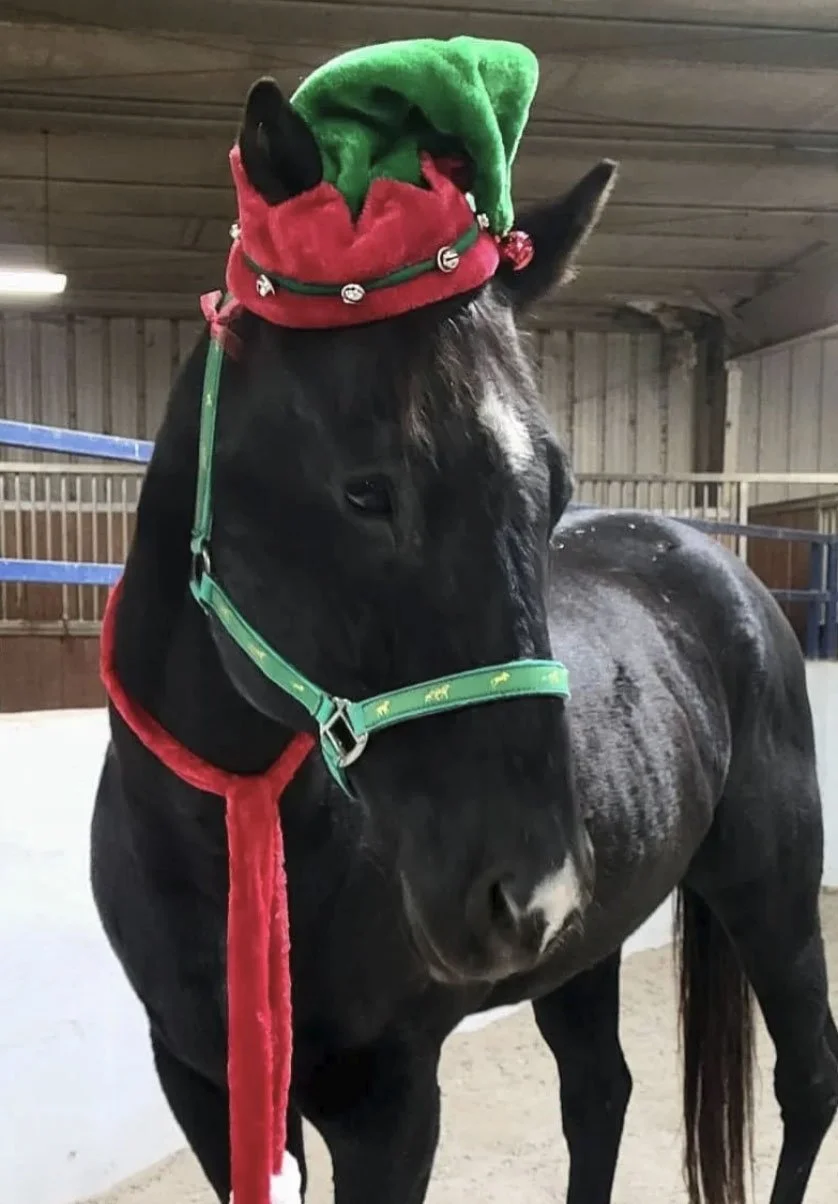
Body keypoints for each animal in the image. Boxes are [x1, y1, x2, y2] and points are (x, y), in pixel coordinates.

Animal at [90, 79, 838, 1204]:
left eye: (556, 485)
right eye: (366, 490)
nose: (527, 894)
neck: (233, 822)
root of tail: (723, 568)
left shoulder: (388, 1101)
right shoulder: (203, 1082)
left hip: (773, 891)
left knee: (807, 1077)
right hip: (590, 946)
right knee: (601, 1093)